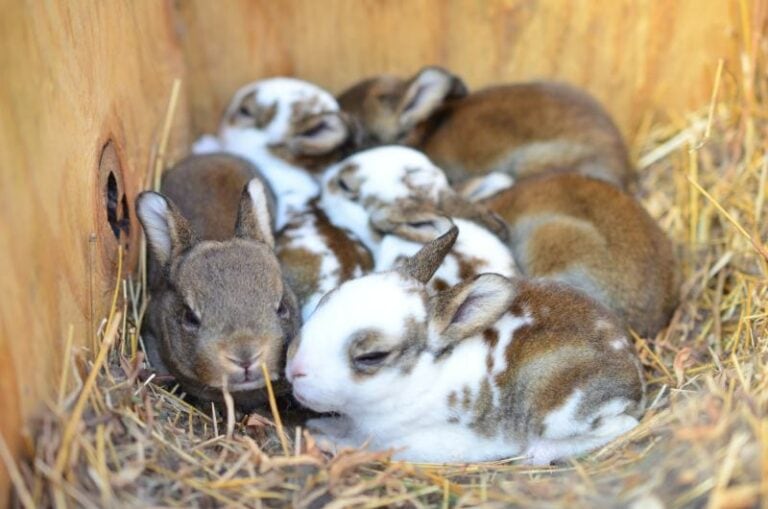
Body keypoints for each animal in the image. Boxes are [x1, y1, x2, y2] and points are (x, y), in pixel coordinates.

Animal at [285, 225, 647, 464]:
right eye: (327, 299)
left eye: (372, 356)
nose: (294, 369)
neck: (421, 379)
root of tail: (634, 376)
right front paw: (322, 426)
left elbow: (368, 447)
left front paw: (327, 441)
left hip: (562, 412)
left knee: (623, 426)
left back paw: (537, 453)